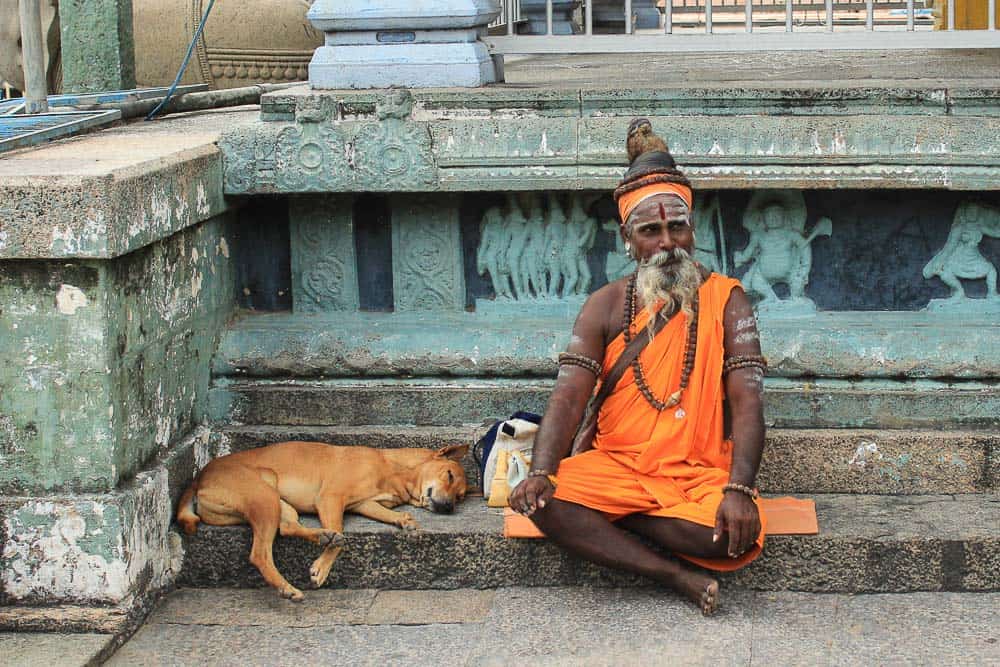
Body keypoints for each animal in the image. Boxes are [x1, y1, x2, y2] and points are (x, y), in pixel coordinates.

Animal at [177, 444, 468, 600]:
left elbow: (387, 515)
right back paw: (287, 586)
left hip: (278, 502)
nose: (448, 507)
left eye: (460, 496)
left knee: (287, 527)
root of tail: (198, 479)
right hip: (264, 497)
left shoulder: (364, 503)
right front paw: (321, 568)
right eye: (449, 475)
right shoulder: (331, 498)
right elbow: (341, 539)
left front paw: (405, 521)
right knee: (260, 554)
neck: (395, 469)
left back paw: (321, 535)